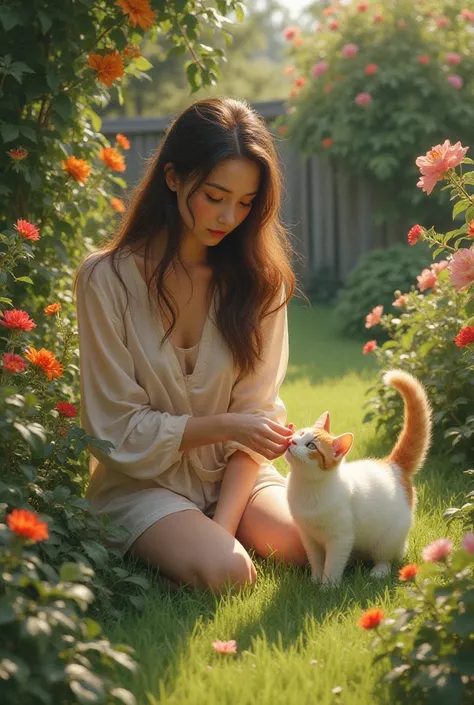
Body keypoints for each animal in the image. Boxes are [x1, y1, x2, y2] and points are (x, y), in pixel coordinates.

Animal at [286, 368, 434, 588]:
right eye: (300, 433)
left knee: (385, 557)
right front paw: (315, 579)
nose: (292, 441)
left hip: (387, 539)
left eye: (311, 446)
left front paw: (328, 587)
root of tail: (392, 465)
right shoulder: (308, 537)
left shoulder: (340, 539)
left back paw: (379, 572)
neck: (307, 486)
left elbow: (332, 564)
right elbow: (317, 560)